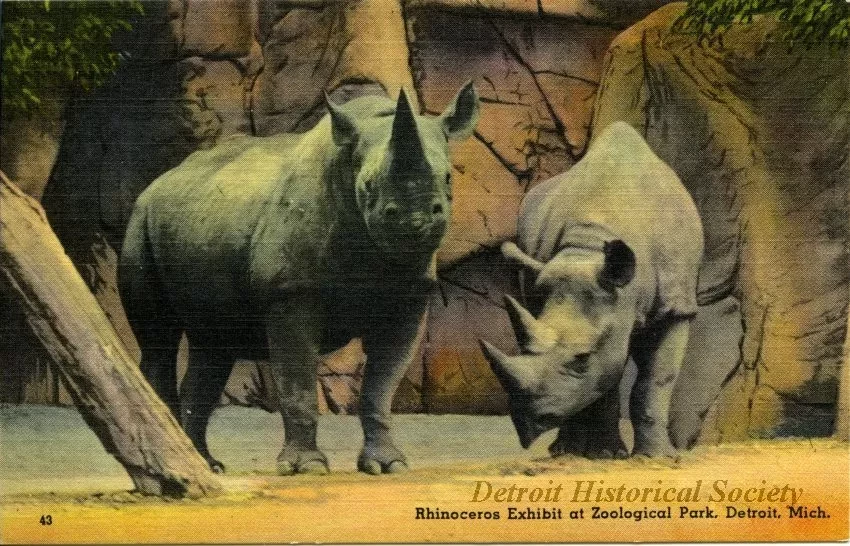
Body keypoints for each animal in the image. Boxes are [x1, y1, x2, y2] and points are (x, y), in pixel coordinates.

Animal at [119, 83, 479, 475]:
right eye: (368, 185)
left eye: (448, 178)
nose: (416, 224)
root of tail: (160, 180)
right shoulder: (290, 292)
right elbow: (298, 383)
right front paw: (306, 467)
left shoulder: (408, 298)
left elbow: (381, 387)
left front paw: (389, 465)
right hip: (140, 221)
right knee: (160, 339)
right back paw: (177, 459)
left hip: (197, 218)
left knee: (214, 344)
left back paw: (206, 464)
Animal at [480, 122, 703, 459]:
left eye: (582, 358)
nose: (525, 423)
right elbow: (602, 382)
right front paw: (599, 454)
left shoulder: (676, 305)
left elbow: (655, 380)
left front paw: (657, 457)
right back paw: (570, 451)